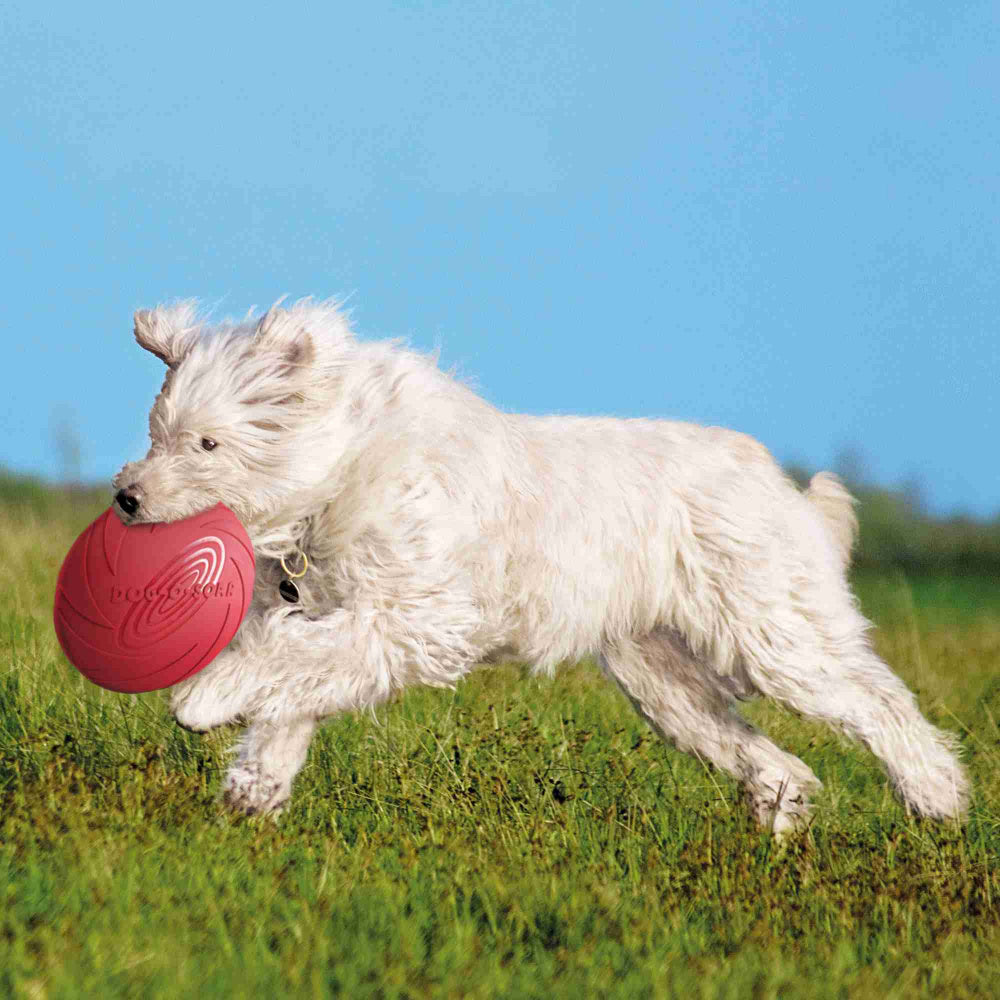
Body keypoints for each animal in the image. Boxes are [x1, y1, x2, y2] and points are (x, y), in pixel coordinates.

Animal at [111, 300, 968, 832]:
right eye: (155, 431)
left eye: (208, 443)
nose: (125, 497)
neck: (340, 469)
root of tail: (781, 486)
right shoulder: (340, 615)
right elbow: (291, 688)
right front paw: (251, 794)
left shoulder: (412, 618)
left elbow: (282, 661)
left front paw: (205, 701)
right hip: (664, 681)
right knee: (778, 760)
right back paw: (784, 826)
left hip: (775, 634)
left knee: (880, 701)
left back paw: (939, 799)